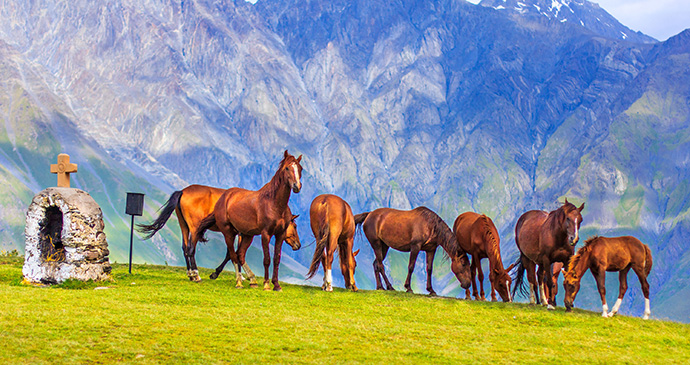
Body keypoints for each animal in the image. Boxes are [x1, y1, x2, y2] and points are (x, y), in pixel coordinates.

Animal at [194, 150, 300, 290]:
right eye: (287, 168)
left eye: (300, 168)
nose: (297, 186)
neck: (275, 205)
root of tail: (224, 197)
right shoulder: (265, 234)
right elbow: (266, 259)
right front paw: (266, 284)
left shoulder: (280, 234)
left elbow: (276, 259)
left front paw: (276, 285)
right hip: (228, 233)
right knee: (233, 255)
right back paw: (238, 282)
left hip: (247, 235)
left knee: (240, 254)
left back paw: (252, 280)